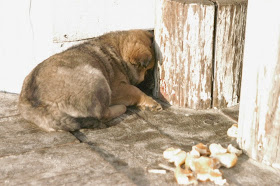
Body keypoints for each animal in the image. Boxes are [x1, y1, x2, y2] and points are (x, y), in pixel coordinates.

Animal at [18, 29, 162, 132]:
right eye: (148, 70)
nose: (153, 84)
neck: (118, 54)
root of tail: (37, 105)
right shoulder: (116, 89)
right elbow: (135, 90)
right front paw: (151, 102)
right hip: (98, 79)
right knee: (103, 113)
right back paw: (120, 108)